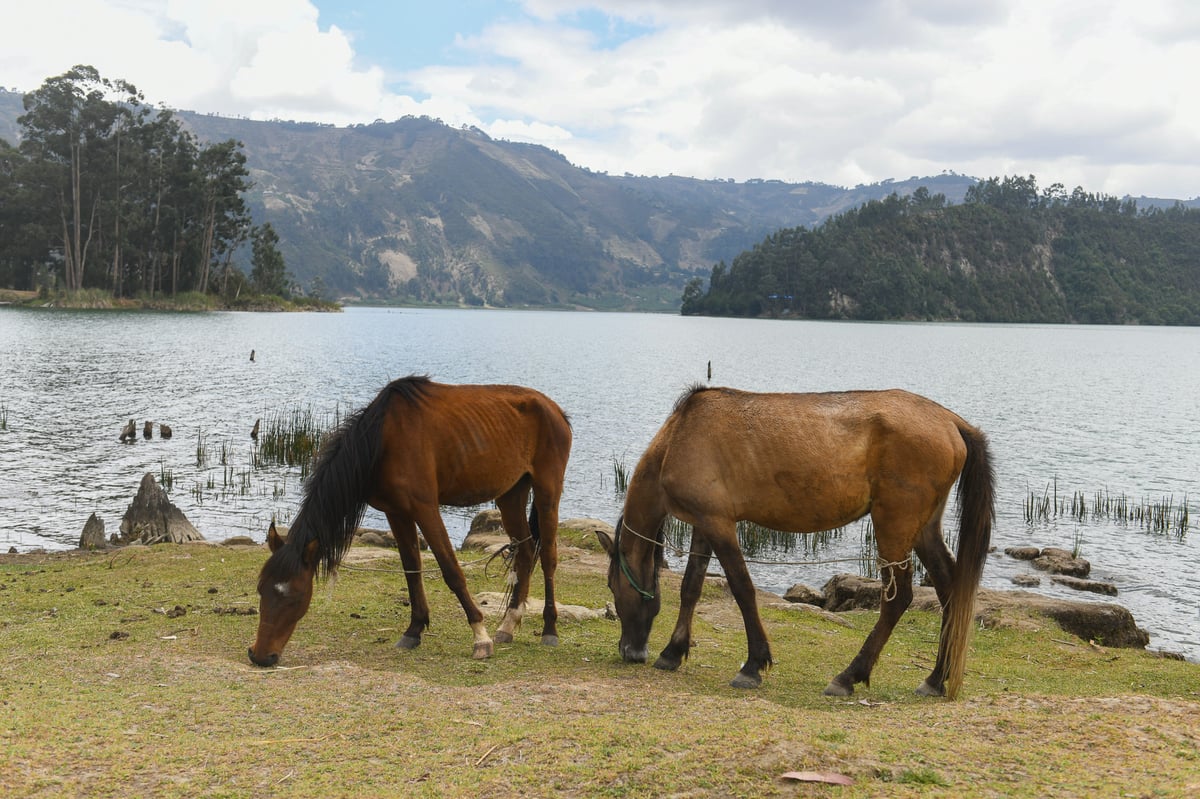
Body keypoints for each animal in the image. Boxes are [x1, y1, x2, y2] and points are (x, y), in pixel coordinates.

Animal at [248, 374, 571, 667]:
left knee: (548, 558)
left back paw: (549, 629)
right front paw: (414, 630)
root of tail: (555, 410)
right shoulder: (396, 512)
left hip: (547, 491)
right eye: (261, 588)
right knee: (525, 553)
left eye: (294, 596)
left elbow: (451, 571)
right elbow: (411, 569)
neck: (382, 440)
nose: (260, 655)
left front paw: (480, 637)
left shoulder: (425, 508)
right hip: (510, 495)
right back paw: (508, 625)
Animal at [595, 386, 998, 695]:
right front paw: (673, 652)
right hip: (924, 528)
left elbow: (742, 589)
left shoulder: (719, 524)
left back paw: (849, 676)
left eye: (613, 587)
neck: (679, 437)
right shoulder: (704, 524)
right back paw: (936, 678)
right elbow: (691, 587)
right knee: (950, 591)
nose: (631, 652)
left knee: (898, 599)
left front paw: (753, 664)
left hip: (893, 526)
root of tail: (951, 422)